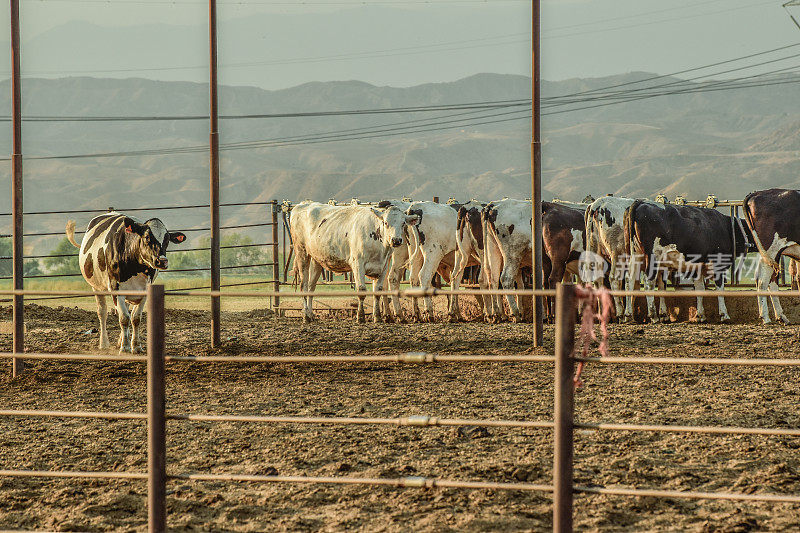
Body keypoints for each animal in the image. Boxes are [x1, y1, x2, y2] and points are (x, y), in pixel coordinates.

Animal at [65, 212, 187, 354]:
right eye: (147, 237)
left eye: (167, 240)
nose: (162, 261)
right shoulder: (116, 290)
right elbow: (123, 318)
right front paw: (125, 347)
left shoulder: (144, 291)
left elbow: (135, 318)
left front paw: (136, 346)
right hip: (96, 287)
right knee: (102, 312)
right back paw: (104, 343)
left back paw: (120, 340)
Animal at [288, 201, 416, 322]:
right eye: (385, 222)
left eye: (403, 223)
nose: (396, 240)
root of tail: (302, 204)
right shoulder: (357, 263)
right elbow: (361, 290)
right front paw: (360, 317)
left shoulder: (383, 265)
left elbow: (378, 291)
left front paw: (377, 317)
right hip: (301, 252)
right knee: (304, 285)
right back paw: (305, 316)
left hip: (317, 259)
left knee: (311, 287)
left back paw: (310, 315)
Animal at [740, 188, 800, 324]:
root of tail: (757, 193)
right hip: (772, 249)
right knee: (763, 280)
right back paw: (766, 317)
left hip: (769, 255)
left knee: (768, 280)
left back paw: (781, 316)